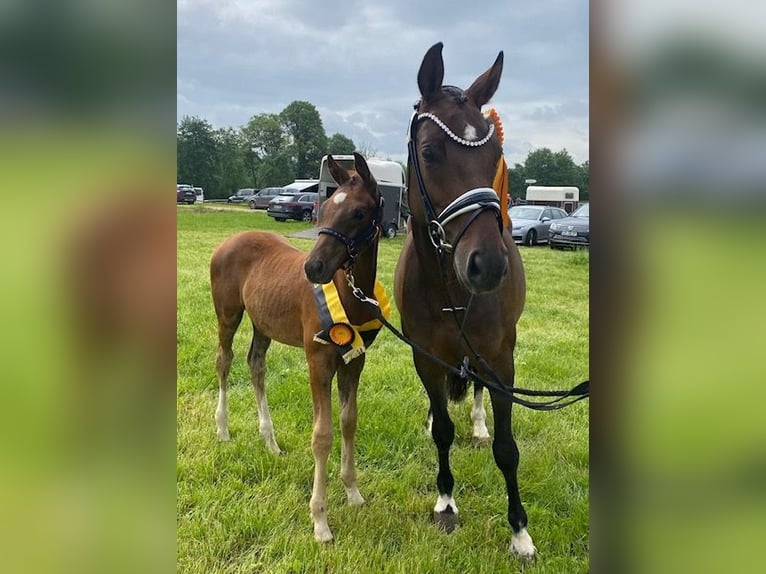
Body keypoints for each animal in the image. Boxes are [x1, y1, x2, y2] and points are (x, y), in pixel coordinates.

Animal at [213, 153, 384, 544]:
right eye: (325, 209)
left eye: (358, 212)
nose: (313, 267)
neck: (350, 294)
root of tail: (228, 241)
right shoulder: (318, 361)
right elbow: (322, 435)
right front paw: (320, 519)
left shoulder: (355, 361)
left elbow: (348, 421)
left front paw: (352, 491)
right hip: (228, 316)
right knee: (224, 361)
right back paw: (223, 429)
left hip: (262, 324)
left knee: (256, 365)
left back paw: (270, 442)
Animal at [392, 42, 536, 560]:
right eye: (430, 152)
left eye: (496, 154)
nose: (488, 265)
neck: (448, 287)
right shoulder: (426, 357)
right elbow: (442, 432)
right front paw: (446, 503)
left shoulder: (500, 358)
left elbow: (508, 450)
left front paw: (519, 532)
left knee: (474, 391)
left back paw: (477, 423)